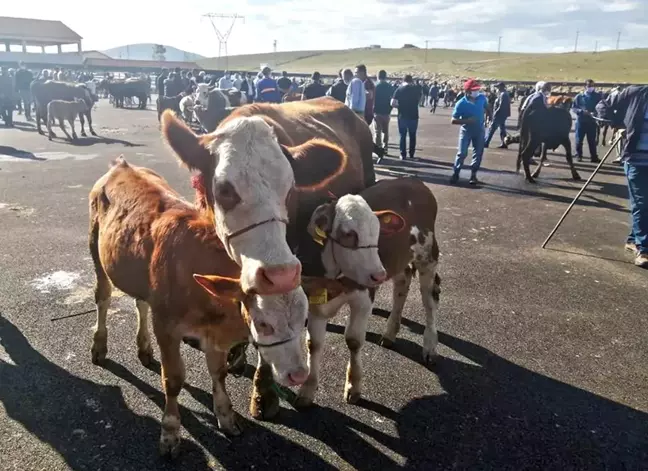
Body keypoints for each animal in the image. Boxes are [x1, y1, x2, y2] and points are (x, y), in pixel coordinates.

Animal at [88, 159, 308, 458]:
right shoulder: (166, 326)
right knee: (103, 298)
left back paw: (144, 348)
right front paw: (170, 432)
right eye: (263, 324)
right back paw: (99, 346)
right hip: (95, 248)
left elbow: (219, 373)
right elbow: (173, 379)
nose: (299, 374)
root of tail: (122, 165)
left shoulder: (213, 335)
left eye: (305, 320)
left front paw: (226, 416)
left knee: (141, 303)